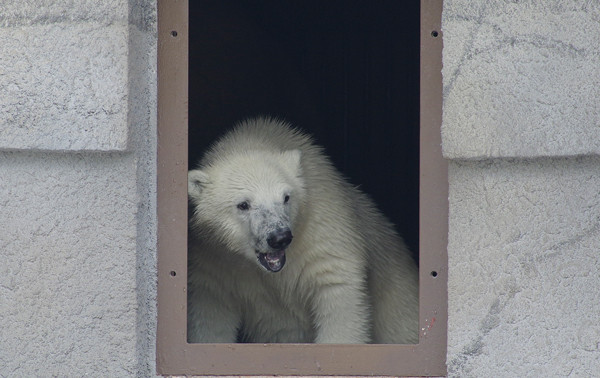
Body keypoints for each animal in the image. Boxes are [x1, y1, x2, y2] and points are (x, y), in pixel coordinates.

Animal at [188, 116, 418, 344]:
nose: (279, 237)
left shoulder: (321, 228)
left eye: (286, 197)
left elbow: (338, 289)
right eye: (243, 204)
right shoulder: (214, 260)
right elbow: (211, 317)